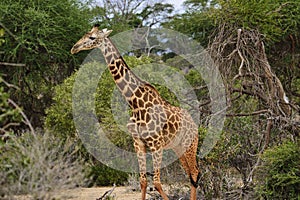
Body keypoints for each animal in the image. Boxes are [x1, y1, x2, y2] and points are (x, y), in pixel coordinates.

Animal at [71, 25, 200, 200]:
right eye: (86, 34)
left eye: (92, 37)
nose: (74, 48)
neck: (135, 103)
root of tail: (194, 124)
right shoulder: (138, 142)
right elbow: (143, 181)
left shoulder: (155, 144)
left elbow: (157, 182)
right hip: (178, 147)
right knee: (190, 173)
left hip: (190, 144)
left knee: (194, 172)